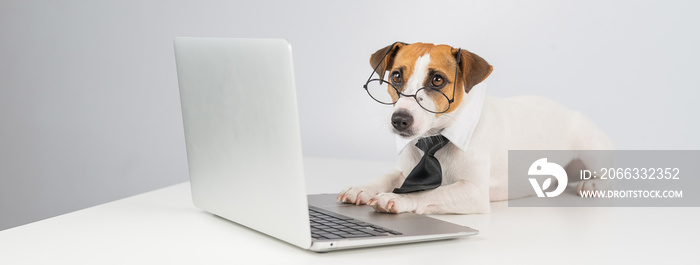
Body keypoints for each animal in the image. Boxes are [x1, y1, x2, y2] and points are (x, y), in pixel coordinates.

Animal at [338, 41, 612, 214]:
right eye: (396, 76)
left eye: (437, 80)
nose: (400, 120)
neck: (435, 139)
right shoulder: (404, 169)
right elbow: (388, 176)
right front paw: (362, 189)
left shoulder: (473, 192)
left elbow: (427, 193)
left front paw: (395, 197)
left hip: (590, 147)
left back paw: (593, 184)